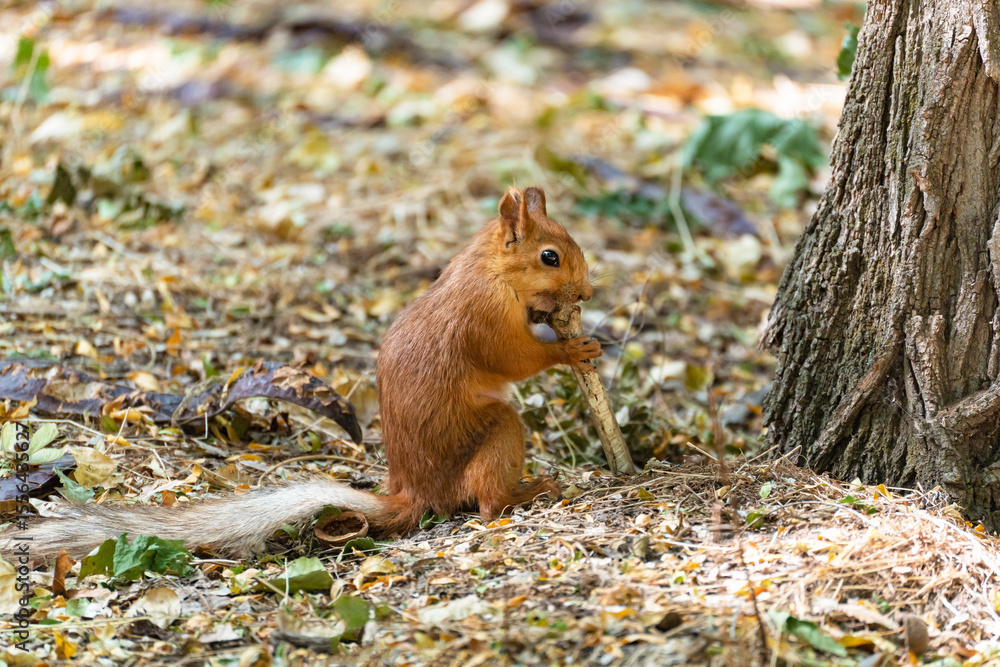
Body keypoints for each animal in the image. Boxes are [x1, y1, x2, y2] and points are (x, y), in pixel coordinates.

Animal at [0, 186, 601, 561]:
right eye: (549, 256)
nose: (587, 293)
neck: (492, 270)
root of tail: (412, 490)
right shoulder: (484, 319)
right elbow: (513, 358)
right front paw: (572, 349)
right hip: (495, 432)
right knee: (487, 502)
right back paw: (530, 491)